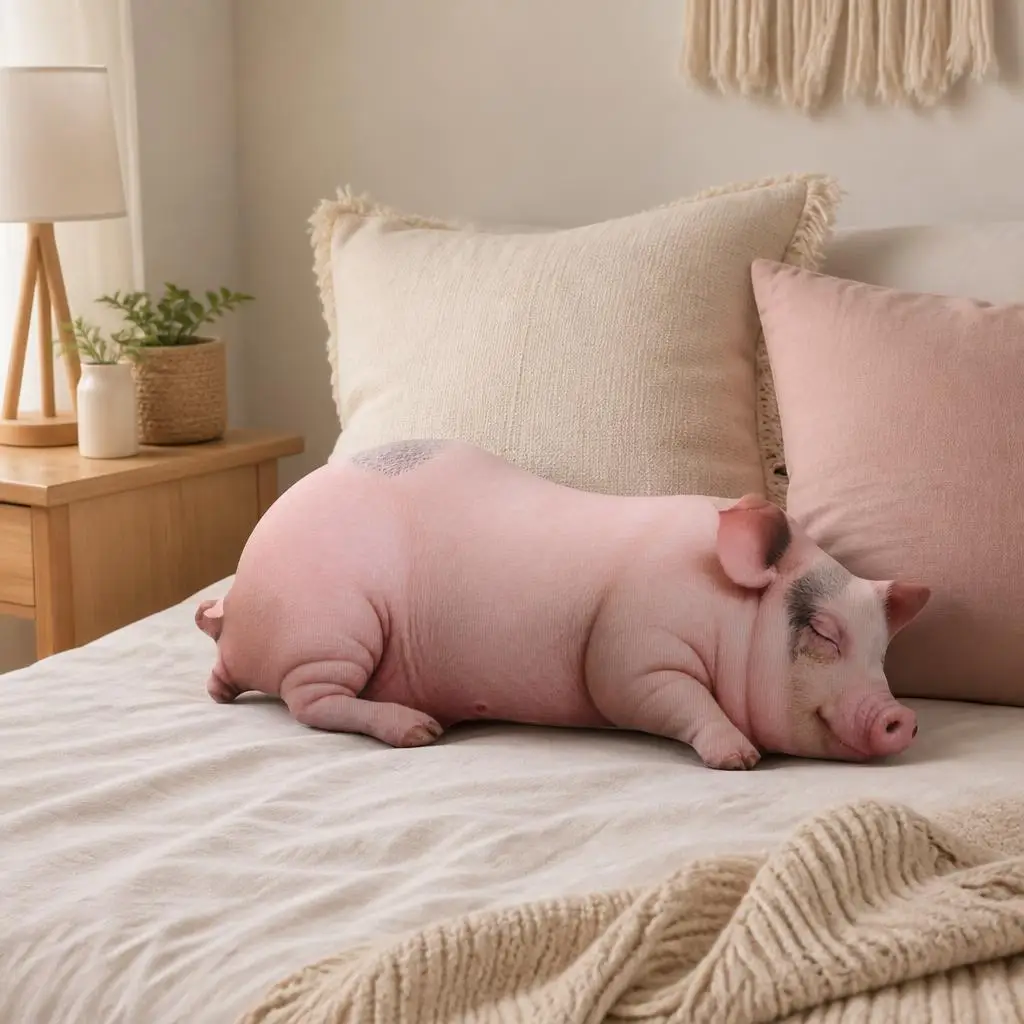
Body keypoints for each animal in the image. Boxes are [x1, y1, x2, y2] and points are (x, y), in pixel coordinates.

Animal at [195, 438, 930, 770]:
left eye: (882, 650)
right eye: (825, 633)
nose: (901, 717)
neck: (728, 612)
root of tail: (234, 607)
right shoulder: (635, 650)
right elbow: (674, 697)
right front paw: (741, 757)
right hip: (330, 625)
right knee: (309, 701)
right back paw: (420, 730)